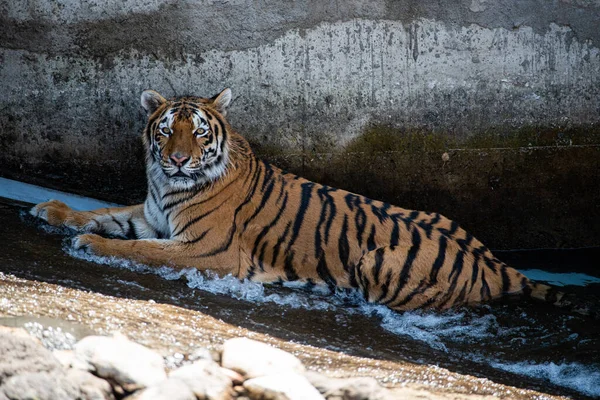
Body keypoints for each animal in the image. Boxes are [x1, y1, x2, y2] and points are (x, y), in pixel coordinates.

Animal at [31, 88, 576, 312]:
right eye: (166, 130)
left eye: (198, 130)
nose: (180, 160)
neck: (166, 186)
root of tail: (498, 265)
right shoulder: (150, 218)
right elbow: (104, 213)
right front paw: (51, 210)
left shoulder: (206, 249)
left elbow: (135, 247)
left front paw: (87, 243)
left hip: (377, 264)